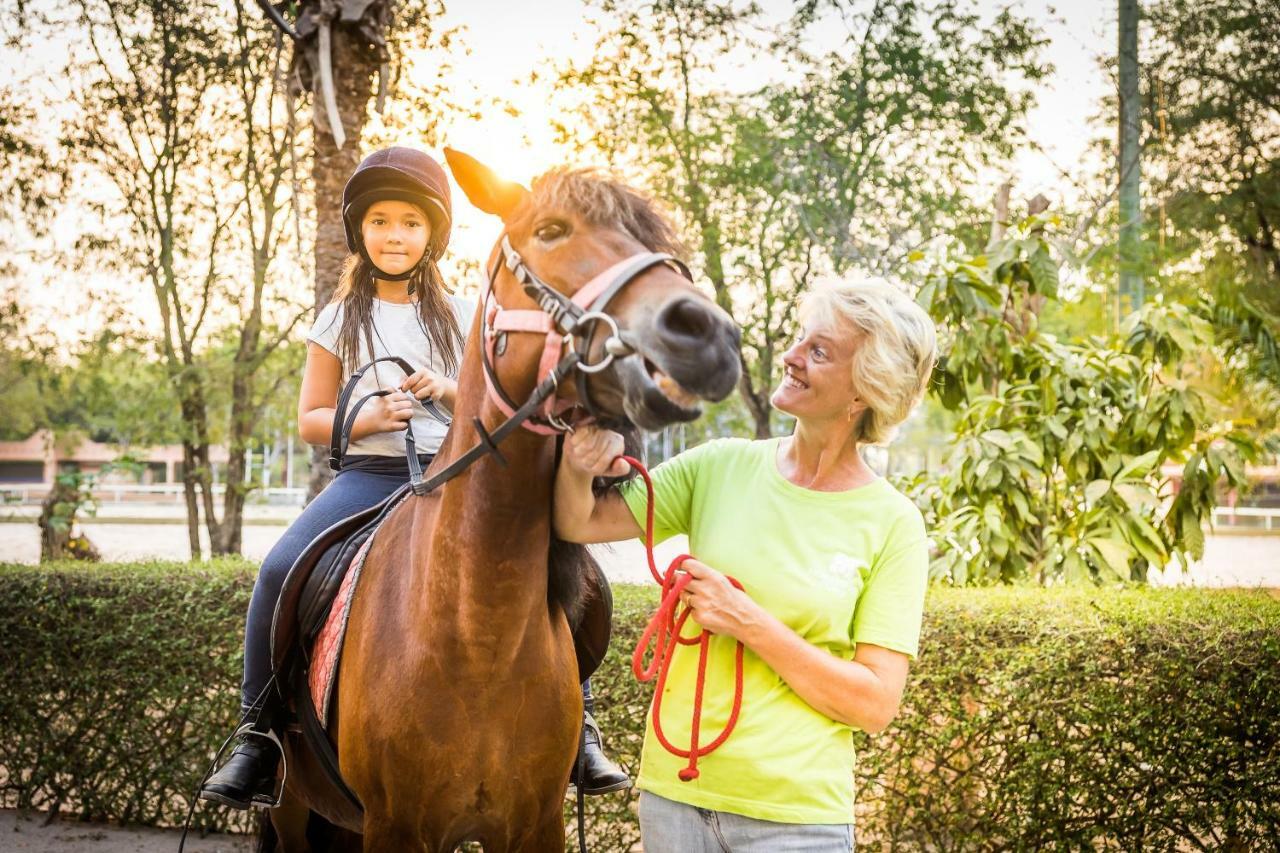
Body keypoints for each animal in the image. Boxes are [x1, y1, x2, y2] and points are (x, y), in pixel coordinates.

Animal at [272, 149, 742, 845]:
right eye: (549, 230)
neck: (476, 633)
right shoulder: (397, 827)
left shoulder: (535, 823)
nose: (709, 335)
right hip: (291, 814)